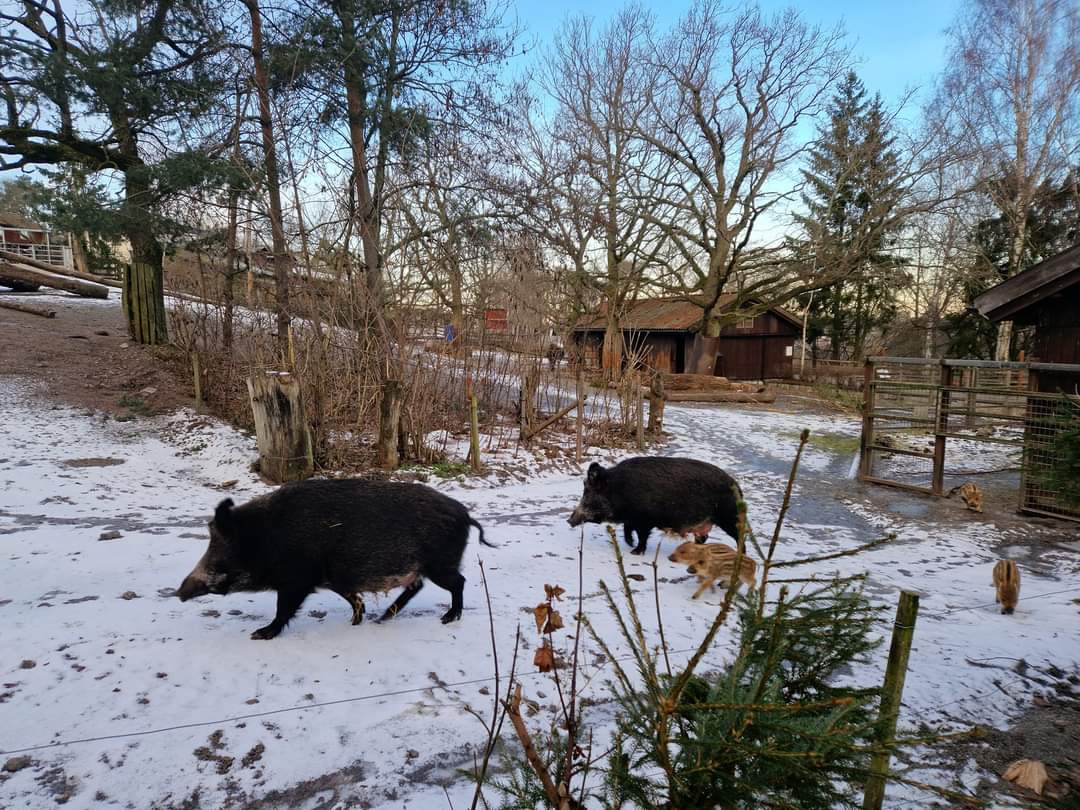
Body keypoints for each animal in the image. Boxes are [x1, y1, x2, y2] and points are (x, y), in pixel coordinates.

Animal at [176, 478, 492, 640]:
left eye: (219, 551)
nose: (178, 592)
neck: (264, 539)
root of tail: (466, 515)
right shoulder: (332, 577)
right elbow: (352, 597)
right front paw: (356, 621)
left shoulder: (296, 580)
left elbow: (283, 609)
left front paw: (259, 634)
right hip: (421, 568)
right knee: (417, 587)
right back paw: (382, 618)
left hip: (441, 563)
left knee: (458, 582)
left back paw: (447, 618)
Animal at [568, 457, 742, 555]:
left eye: (588, 494)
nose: (569, 520)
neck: (618, 490)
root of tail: (737, 487)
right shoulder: (632, 520)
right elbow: (627, 529)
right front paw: (630, 543)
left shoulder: (645, 521)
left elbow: (642, 536)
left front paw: (635, 551)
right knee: (703, 537)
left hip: (729, 518)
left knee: (740, 536)